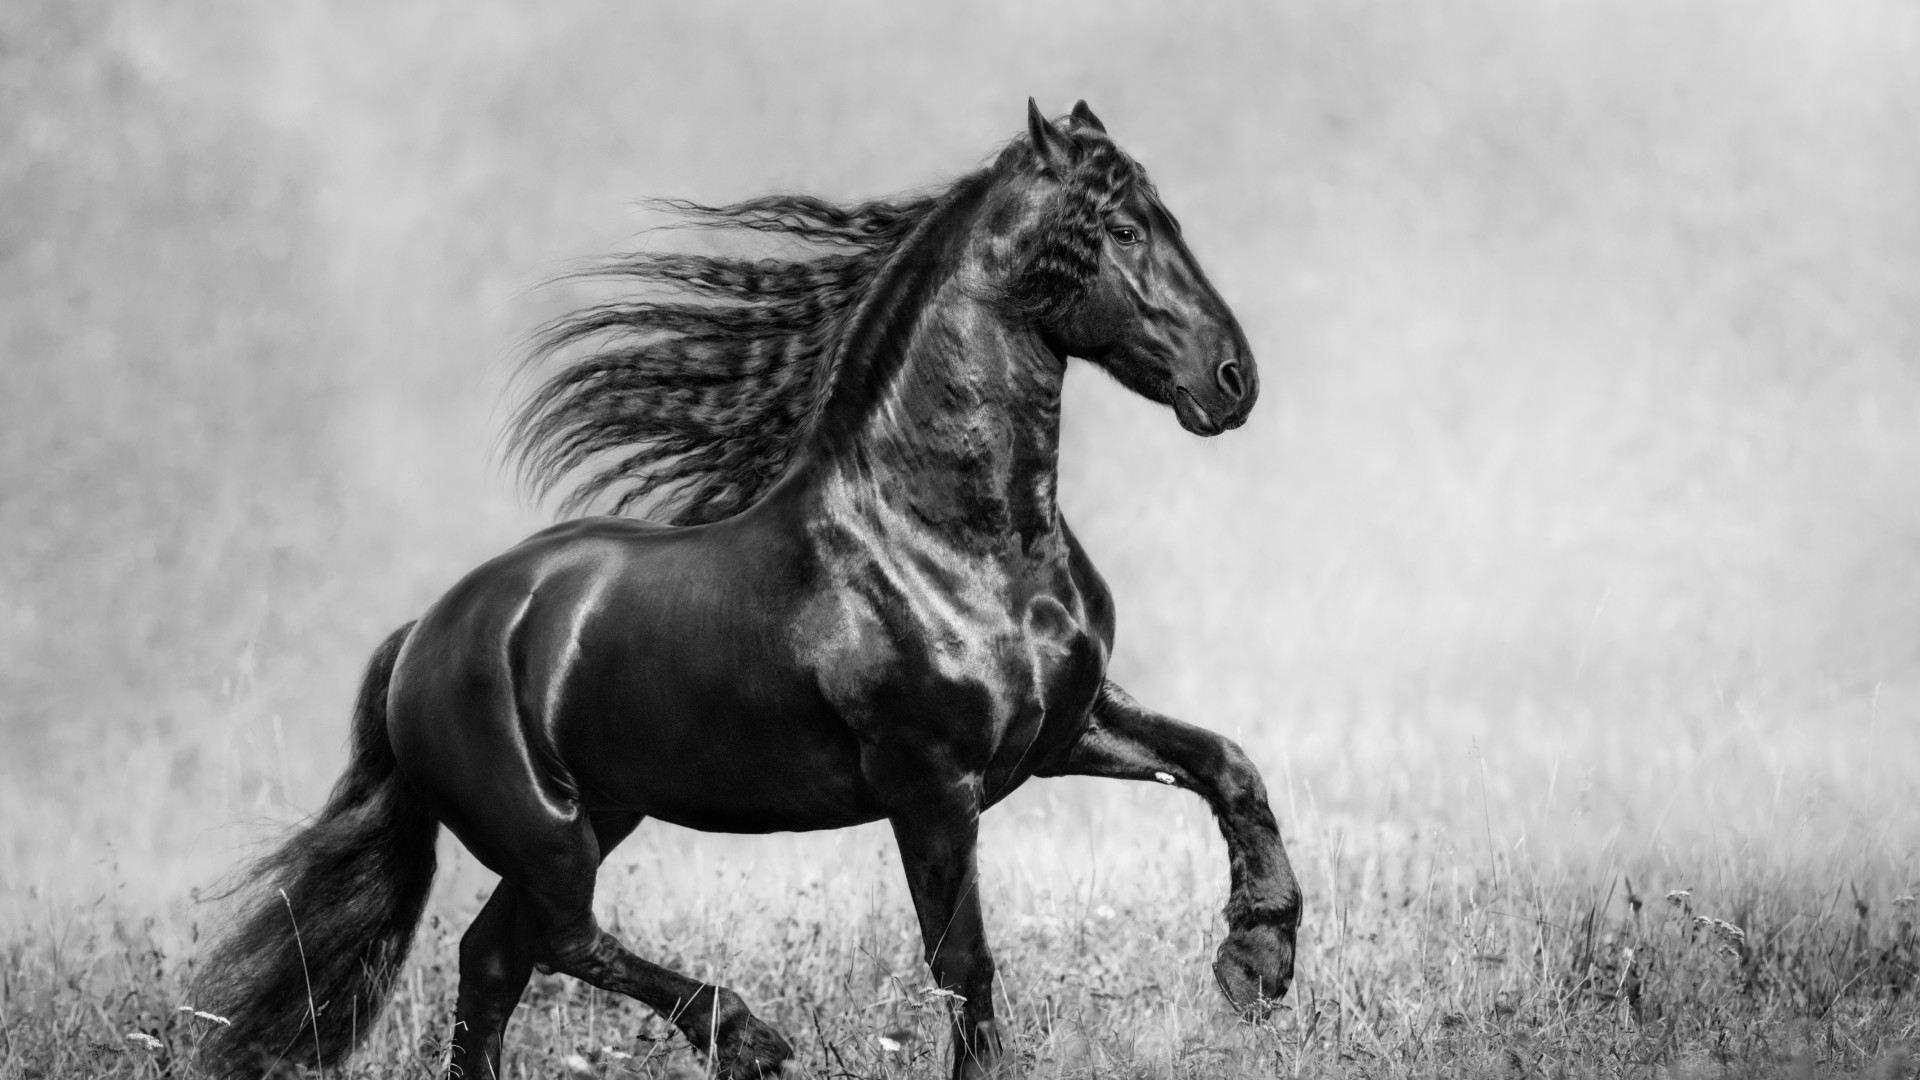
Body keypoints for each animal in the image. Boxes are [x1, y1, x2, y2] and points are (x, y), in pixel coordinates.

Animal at [194, 99, 1303, 1080]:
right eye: (1122, 229)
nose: (1234, 379)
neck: (956, 541)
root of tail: (425, 633)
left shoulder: (1065, 729)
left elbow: (1228, 766)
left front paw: (1257, 962)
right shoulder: (930, 786)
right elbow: (964, 965)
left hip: (600, 813)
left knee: (496, 959)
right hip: (547, 830)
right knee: (558, 937)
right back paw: (748, 1038)